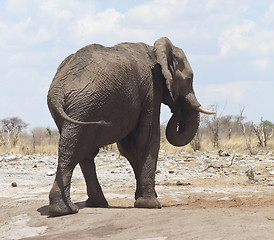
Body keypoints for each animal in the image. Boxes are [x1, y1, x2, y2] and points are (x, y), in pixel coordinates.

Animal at [47, 36, 214, 217]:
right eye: (189, 79)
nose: (177, 108)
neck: (155, 51)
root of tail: (57, 90)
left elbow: (130, 148)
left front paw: (142, 198)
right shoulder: (151, 88)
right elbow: (147, 139)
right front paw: (151, 204)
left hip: (79, 110)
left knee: (81, 150)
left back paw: (92, 205)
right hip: (86, 106)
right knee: (76, 149)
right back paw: (65, 210)